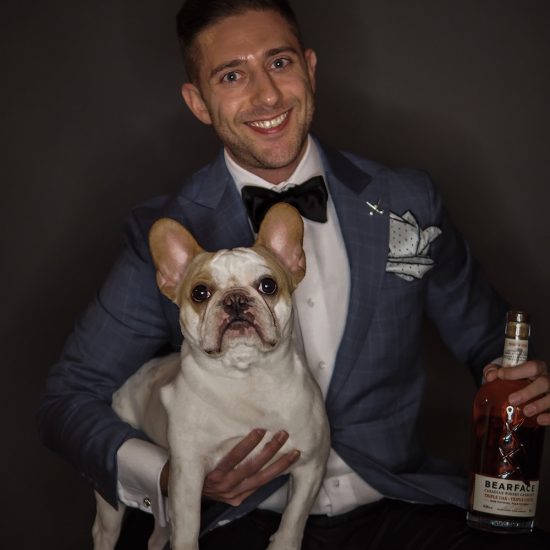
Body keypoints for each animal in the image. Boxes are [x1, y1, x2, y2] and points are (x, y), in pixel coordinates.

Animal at [92, 203, 331, 550]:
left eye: (268, 285)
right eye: (200, 292)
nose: (235, 299)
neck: (247, 377)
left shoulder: (311, 465)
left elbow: (294, 518)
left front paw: (284, 542)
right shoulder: (188, 477)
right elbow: (188, 529)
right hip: (114, 503)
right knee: (107, 529)